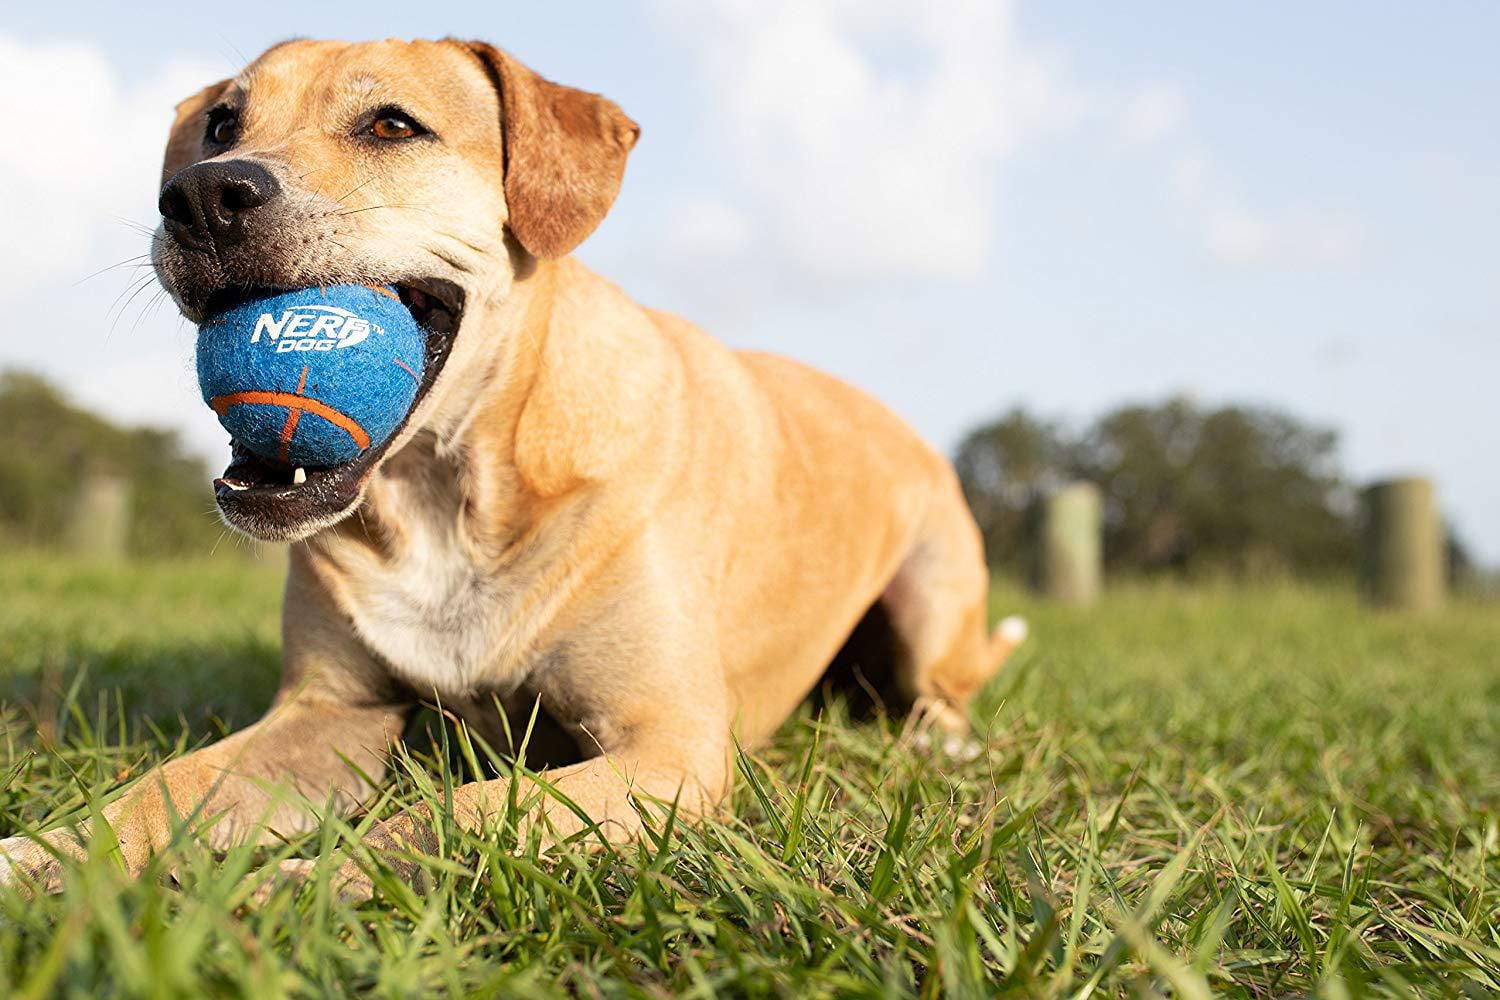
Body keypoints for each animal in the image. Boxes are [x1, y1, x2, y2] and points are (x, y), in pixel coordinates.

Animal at [0, 39, 1020, 899]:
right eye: (221, 124)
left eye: (392, 125)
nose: (202, 195)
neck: (445, 497)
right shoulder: (329, 712)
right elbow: (161, 788)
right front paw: (42, 854)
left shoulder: (667, 748)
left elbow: (454, 813)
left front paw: (299, 887)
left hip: (934, 597)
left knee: (943, 697)